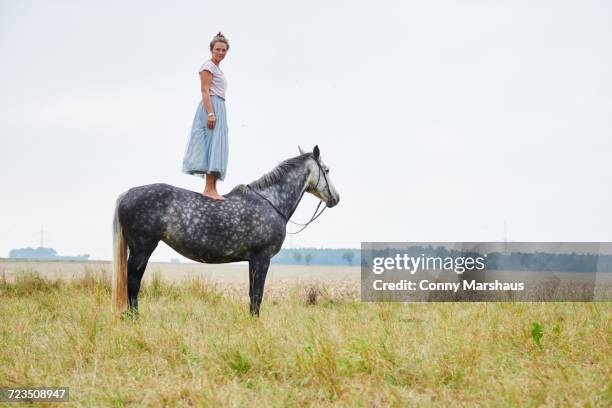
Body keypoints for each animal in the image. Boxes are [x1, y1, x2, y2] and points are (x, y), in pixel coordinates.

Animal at [113, 147, 340, 316]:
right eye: (327, 170)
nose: (336, 198)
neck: (270, 202)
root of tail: (127, 194)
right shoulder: (262, 258)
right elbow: (257, 295)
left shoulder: (252, 260)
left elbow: (252, 295)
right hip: (142, 250)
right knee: (133, 283)